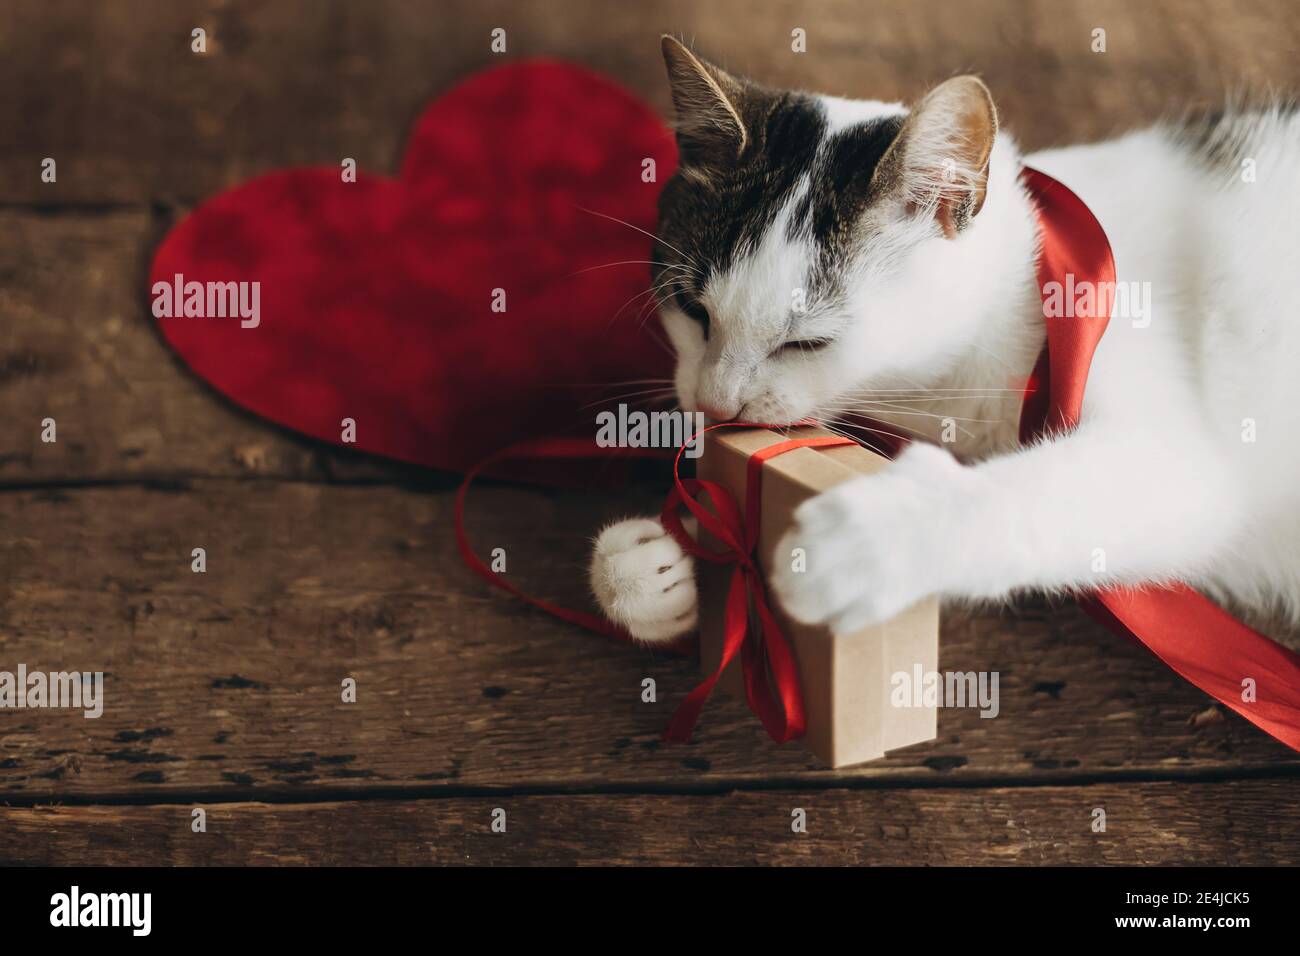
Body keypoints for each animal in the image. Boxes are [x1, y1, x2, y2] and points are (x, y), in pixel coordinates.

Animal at [592, 35, 1300, 650]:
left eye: (808, 342)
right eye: (692, 310)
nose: (716, 403)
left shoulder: (1172, 448)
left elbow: (1069, 490)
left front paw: (873, 540)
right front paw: (654, 565)